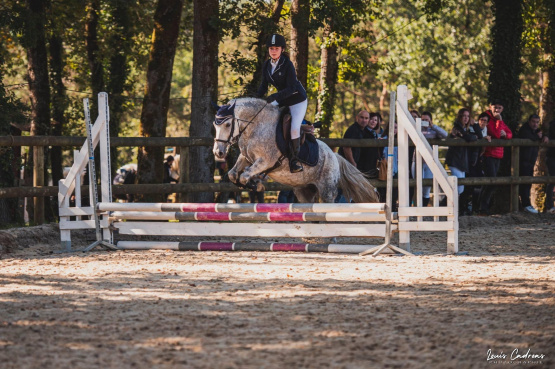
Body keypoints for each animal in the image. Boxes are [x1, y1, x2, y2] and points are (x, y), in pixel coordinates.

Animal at [211, 96, 380, 203]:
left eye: (227, 124)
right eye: (215, 125)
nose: (218, 152)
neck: (256, 126)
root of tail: (334, 156)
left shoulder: (265, 161)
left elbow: (245, 175)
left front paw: (255, 184)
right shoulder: (246, 158)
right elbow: (233, 174)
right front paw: (252, 183)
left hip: (327, 189)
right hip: (304, 190)